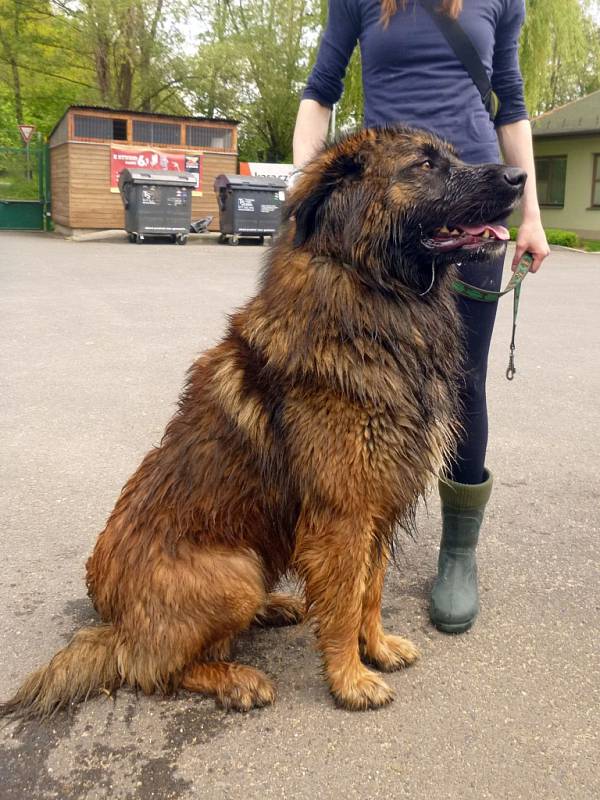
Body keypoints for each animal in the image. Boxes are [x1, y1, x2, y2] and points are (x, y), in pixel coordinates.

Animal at [1, 126, 524, 720]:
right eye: (425, 164)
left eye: (453, 156)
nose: (519, 177)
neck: (370, 293)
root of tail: (113, 620)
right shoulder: (343, 514)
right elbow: (344, 603)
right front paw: (349, 679)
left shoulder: (378, 506)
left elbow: (371, 589)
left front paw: (377, 648)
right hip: (237, 573)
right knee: (148, 667)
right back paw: (235, 679)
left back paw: (273, 610)